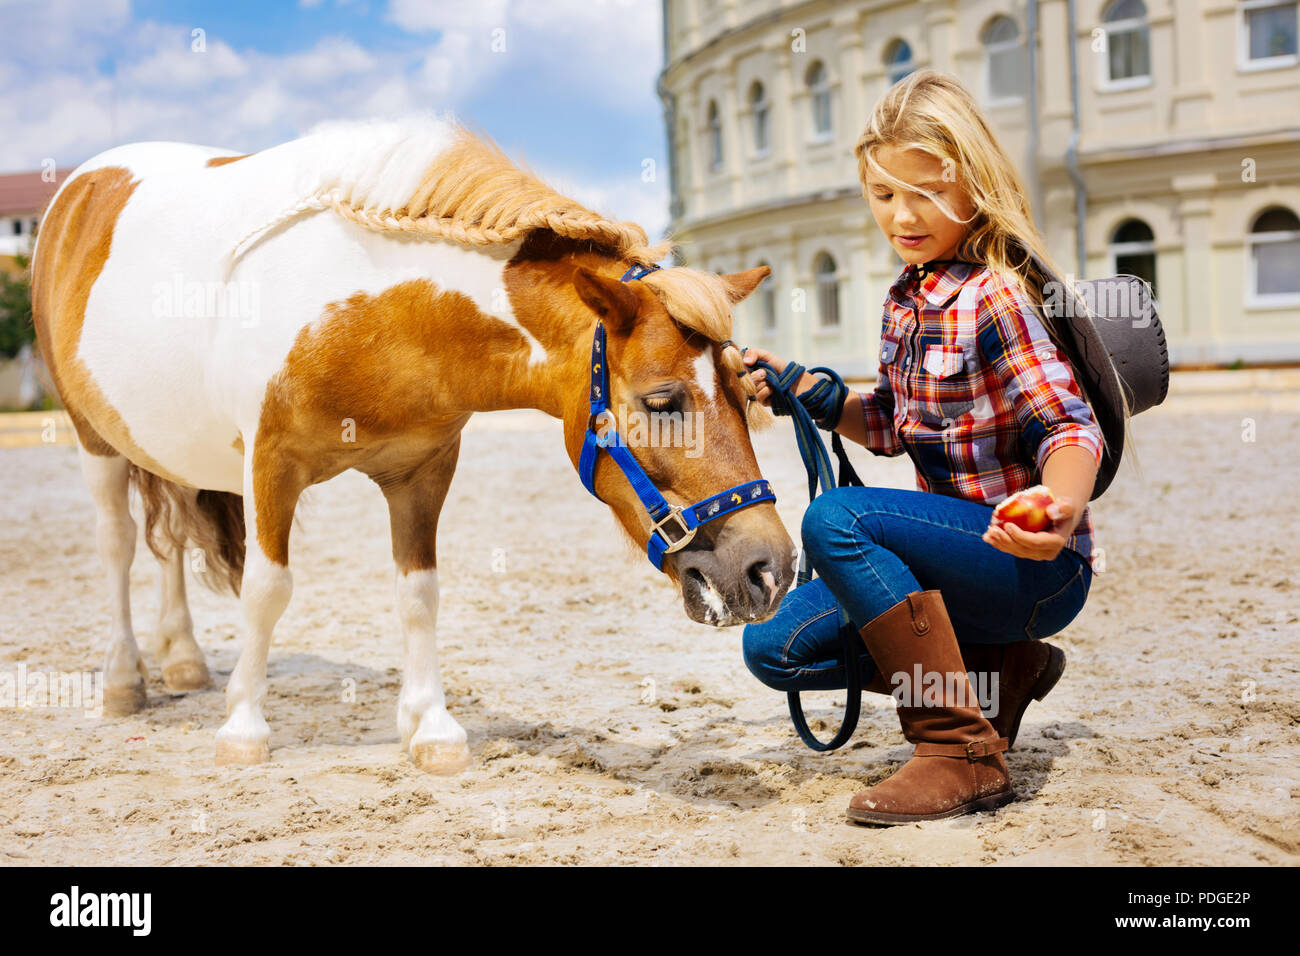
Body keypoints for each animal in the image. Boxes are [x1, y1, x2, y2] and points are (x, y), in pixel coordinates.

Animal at [30, 115, 795, 775]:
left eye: (746, 394)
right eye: (663, 401)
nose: (771, 569)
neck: (372, 314)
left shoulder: (422, 472)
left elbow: (419, 592)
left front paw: (429, 729)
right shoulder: (269, 465)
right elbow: (267, 590)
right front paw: (243, 728)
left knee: (171, 541)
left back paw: (184, 660)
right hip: (94, 439)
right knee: (118, 545)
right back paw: (124, 680)